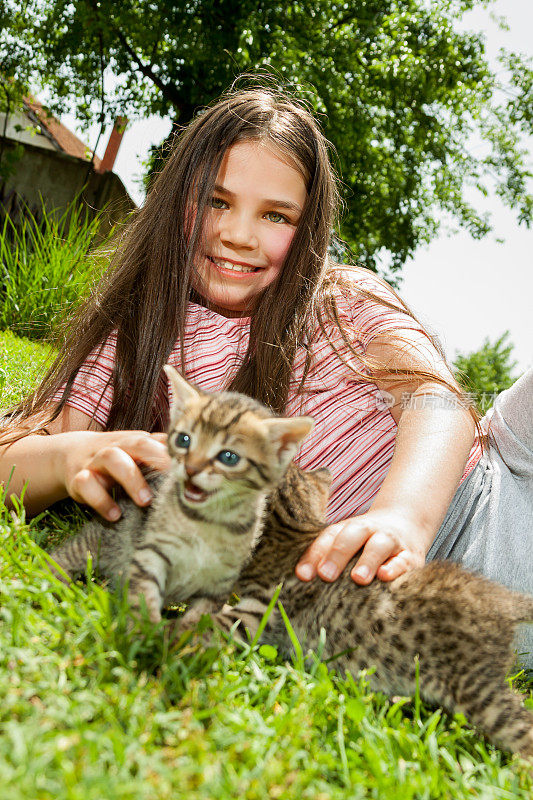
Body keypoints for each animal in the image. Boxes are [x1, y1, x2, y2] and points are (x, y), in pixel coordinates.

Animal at [48, 366, 316, 620]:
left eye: (229, 457)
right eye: (184, 440)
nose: (190, 469)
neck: (208, 521)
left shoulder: (221, 580)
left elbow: (198, 622)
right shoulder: (151, 554)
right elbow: (143, 598)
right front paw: (143, 631)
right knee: (71, 552)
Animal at [177, 466, 532, 760]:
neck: (294, 530)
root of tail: (504, 601)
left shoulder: (259, 615)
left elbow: (208, 624)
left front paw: (169, 631)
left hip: (476, 690)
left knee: (521, 726)